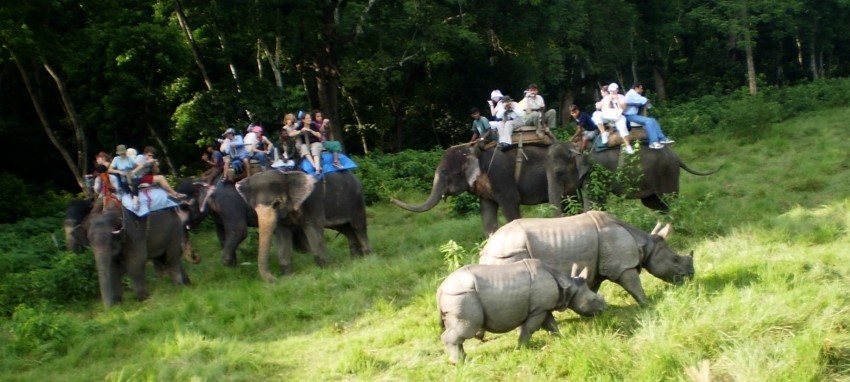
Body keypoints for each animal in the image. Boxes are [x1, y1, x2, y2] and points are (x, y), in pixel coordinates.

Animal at [234, 170, 370, 280]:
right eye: (254, 207)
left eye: (277, 204)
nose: (275, 279)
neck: (287, 174)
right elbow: (282, 235)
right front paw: (288, 278)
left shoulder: (313, 202)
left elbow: (313, 229)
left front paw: (327, 270)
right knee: (346, 229)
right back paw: (355, 260)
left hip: (356, 201)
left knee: (358, 227)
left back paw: (368, 258)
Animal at [392, 143, 588, 234]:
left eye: (445, 172)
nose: (390, 198)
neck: (471, 148)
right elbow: (487, 213)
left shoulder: (500, 178)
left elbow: (511, 205)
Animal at [438, 260, 604, 364]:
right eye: (594, 299)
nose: (604, 308)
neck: (568, 287)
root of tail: (440, 289)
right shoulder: (538, 310)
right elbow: (529, 329)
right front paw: (520, 349)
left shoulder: (543, 308)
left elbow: (551, 324)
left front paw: (561, 338)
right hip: (461, 296)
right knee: (467, 328)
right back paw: (458, 363)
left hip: (455, 297)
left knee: (458, 329)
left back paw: (463, 359)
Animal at [476, 212, 688, 304]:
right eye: (676, 260)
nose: (690, 277)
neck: (645, 246)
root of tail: (486, 248)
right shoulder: (622, 266)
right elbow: (634, 285)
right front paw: (647, 304)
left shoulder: (596, 267)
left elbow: (592, 286)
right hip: (509, 254)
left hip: (502, 253)